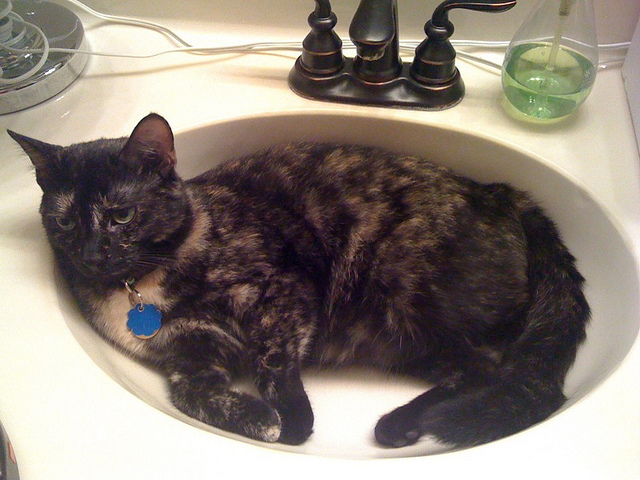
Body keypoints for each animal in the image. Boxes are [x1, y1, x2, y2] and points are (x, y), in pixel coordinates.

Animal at [7, 113, 590, 448]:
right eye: (64, 221)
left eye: (121, 215)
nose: (92, 252)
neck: (140, 288)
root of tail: (502, 193)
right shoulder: (186, 357)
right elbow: (191, 393)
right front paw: (257, 419)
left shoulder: (282, 292)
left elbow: (271, 362)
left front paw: (290, 420)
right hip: (404, 339)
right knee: (475, 371)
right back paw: (403, 424)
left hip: (405, 291)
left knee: (504, 373)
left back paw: (403, 424)